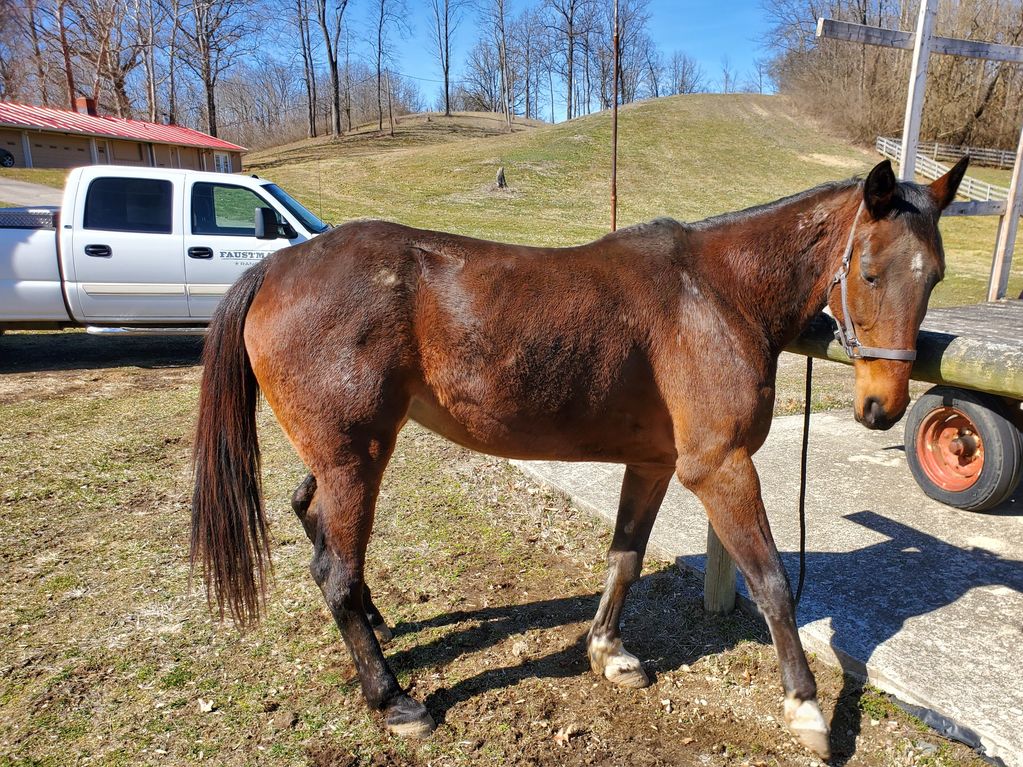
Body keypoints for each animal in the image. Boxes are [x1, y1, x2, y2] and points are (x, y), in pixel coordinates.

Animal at [191, 157, 967, 757]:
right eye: (870, 273)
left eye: (933, 276)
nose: (882, 407)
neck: (714, 294)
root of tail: (276, 267)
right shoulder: (718, 467)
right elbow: (774, 584)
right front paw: (805, 708)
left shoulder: (654, 465)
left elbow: (624, 556)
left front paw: (607, 651)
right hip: (358, 459)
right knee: (336, 573)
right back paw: (393, 699)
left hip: (344, 456)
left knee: (311, 517)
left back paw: (382, 627)